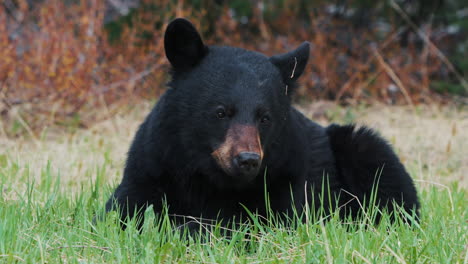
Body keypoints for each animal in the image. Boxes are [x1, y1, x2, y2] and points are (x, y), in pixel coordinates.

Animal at [106, 19, 420, 229]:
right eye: (221, 112)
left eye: (265, 117)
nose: (247, 159)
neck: (206, 175)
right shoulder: (153, 166)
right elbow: (120, 212)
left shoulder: (286, 180)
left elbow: (251, 223)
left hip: (361, 147)